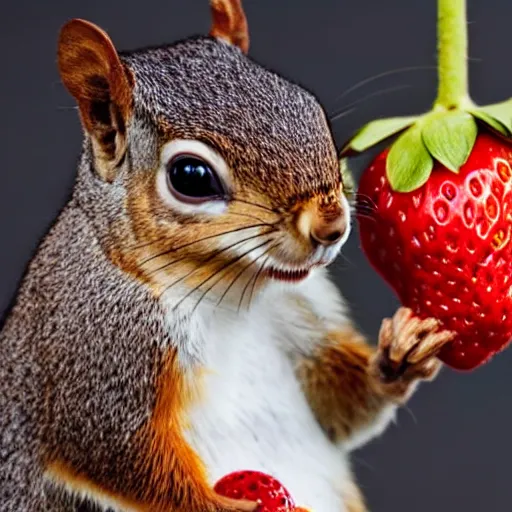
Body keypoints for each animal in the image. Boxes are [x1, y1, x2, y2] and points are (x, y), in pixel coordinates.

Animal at [0, 1, 456, 512]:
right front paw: (236, 505)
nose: (330, 225)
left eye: (311, 109)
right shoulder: (100, 350)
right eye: (191, 176)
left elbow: (341, 407)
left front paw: (400, 354)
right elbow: (119, 452)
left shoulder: (301, 311)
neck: (229, 291)